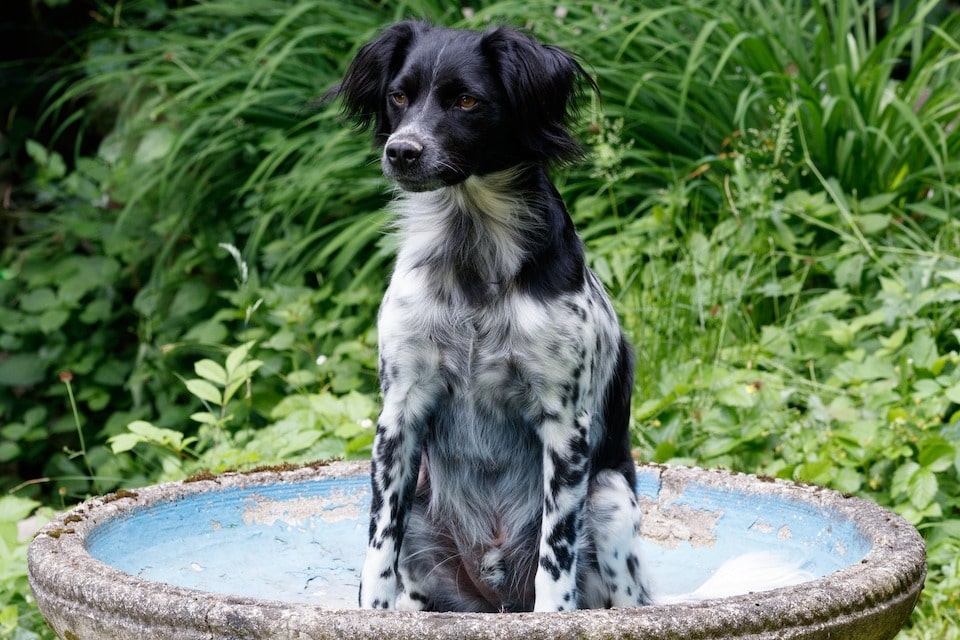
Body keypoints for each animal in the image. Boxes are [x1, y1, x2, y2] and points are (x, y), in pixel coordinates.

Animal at [330, 21, 808, 616]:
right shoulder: (399, 414)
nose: (402, 151)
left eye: (467, 101)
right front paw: (369, 615)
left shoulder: (565, 426)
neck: (473, 259)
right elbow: (379, 547)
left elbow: (554, 557)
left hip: (609, 500)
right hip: (424, 517)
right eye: (399, 96)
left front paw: (552, 615)